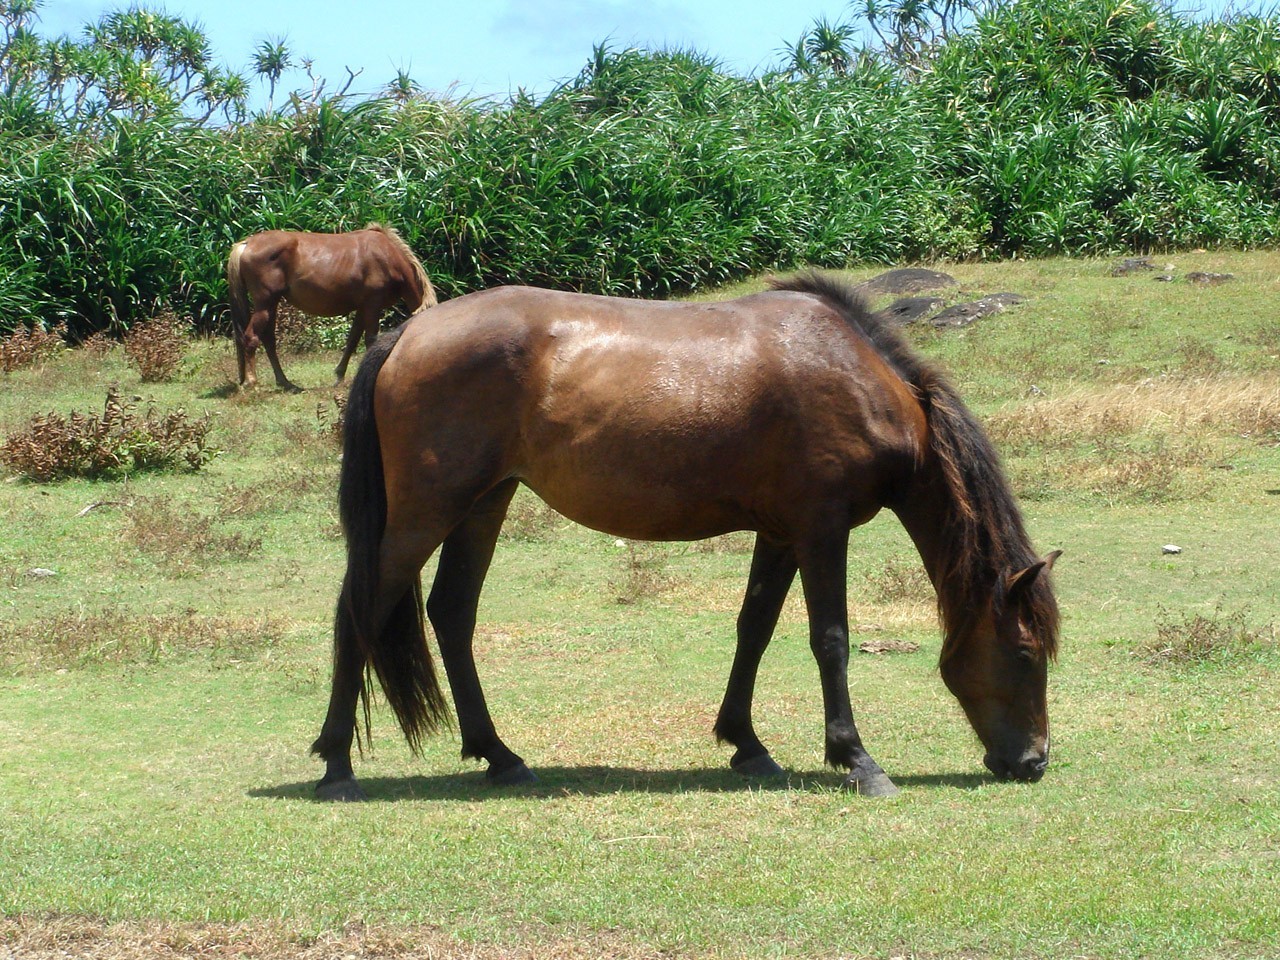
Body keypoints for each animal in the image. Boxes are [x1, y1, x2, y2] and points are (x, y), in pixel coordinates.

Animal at [225, 224, 437, 392]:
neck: (386, 256)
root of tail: (247, 244)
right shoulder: (372, 305)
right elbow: (370, 340)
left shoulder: (362, 308)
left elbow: (352, 340)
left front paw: (339, 376)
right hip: (265, 303)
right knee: (251, 337)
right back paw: (252, 382)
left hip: (271, 304)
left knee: (269, 340)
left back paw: (286, 383)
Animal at [310, 272, 1062, 801]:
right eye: (1026, 654)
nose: (1033, 762)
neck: (856, 379)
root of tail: (407, 334)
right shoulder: (821, 530)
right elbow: (831, 641)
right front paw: (857, 759)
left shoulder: (781, 534)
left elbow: (754, 628)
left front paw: (746, 744)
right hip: (425, 513)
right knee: (361, 609)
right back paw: (337, 763)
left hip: (483, 504)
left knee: (451, 613)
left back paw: (500, 756)